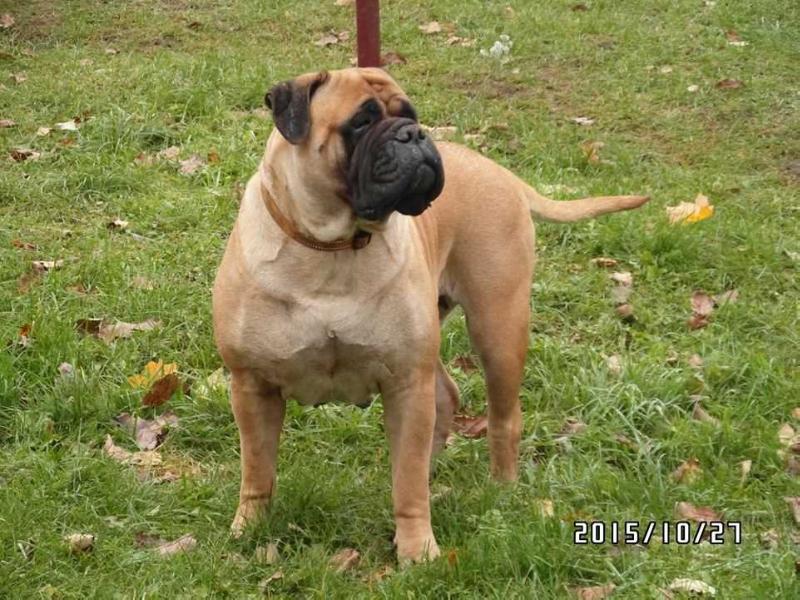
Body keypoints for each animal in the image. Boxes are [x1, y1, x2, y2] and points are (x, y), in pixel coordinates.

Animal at [212, 68, 648, 564]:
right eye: (360, 122)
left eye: (411, 114)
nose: (414, 134)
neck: (331, 247)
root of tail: (501, 172)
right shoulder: (252, 386)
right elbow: (257, 467)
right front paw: (249, 528)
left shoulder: (405, 381)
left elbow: (407, 483)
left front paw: (417, 549)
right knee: (444, 403)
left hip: (498, 329)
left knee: (500, 418)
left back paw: (500, 487)